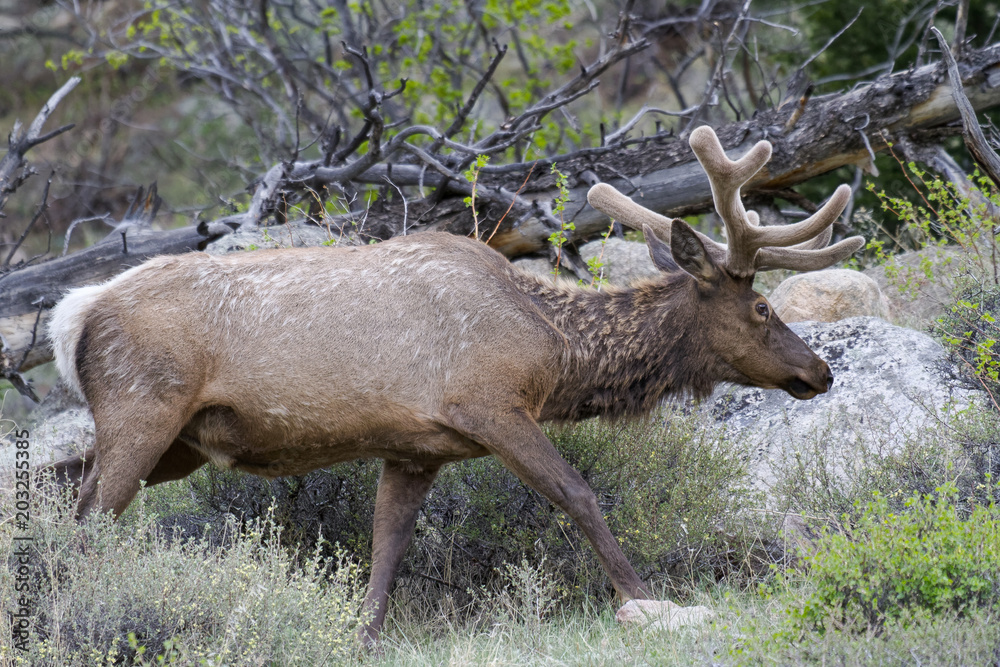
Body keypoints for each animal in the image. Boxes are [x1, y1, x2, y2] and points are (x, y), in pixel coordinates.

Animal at [43, 125, 863, 644]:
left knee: (62, 491)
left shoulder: (415, 449)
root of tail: (72, 315)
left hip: (177, 442)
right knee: (86, 521)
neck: (553, 351)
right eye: (762, 308)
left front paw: (361, 639)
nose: (819, 370)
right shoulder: (488, 404)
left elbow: (385, 551)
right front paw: (649, 601)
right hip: (144, 407)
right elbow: (579, 494)